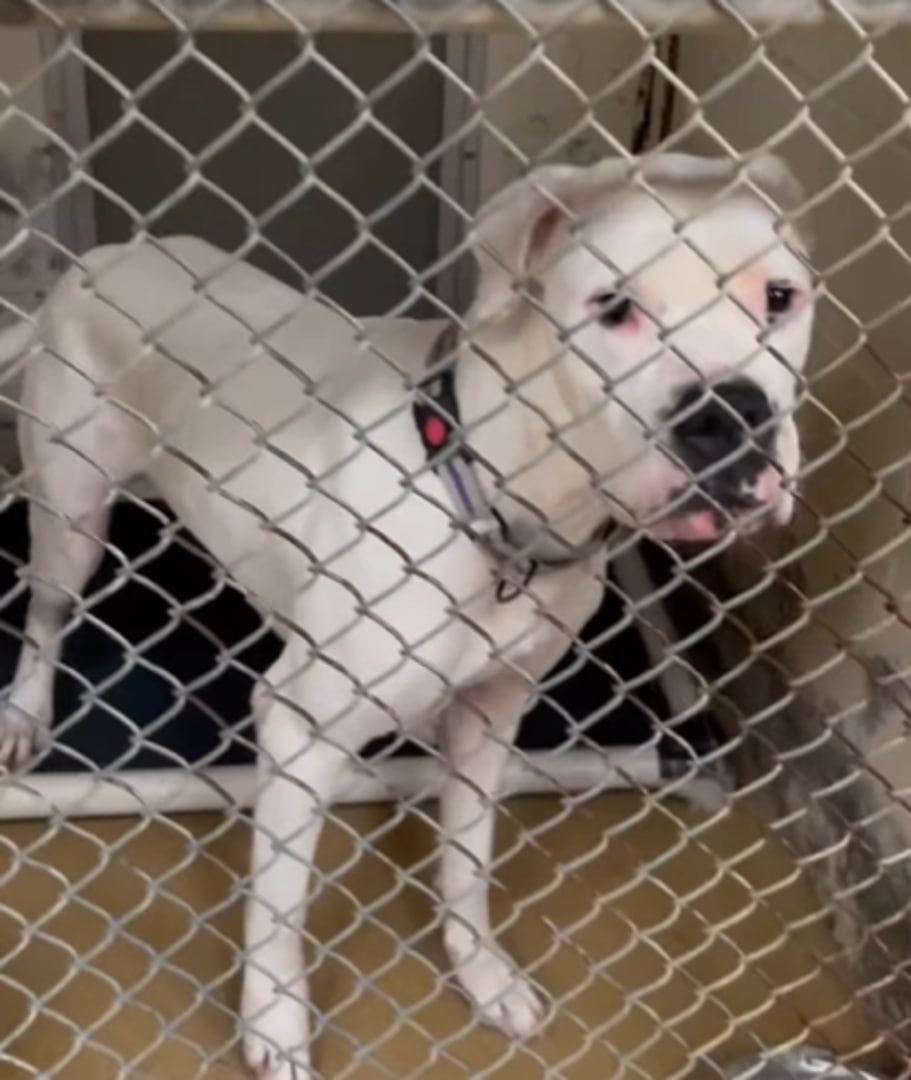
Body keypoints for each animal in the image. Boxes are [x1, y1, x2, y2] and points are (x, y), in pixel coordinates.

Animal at [0, 150, 811, 1071]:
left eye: (779, 297)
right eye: (613, 309)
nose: (732, 413)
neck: (496, 507)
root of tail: (95, 263)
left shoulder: (494, 713)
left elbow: (466, 858)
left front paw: (480, 972)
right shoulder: (300, 729)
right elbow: (278, 901)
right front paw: (274, 1026)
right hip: (71, 520)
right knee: (46, 616)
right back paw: (25, 710)